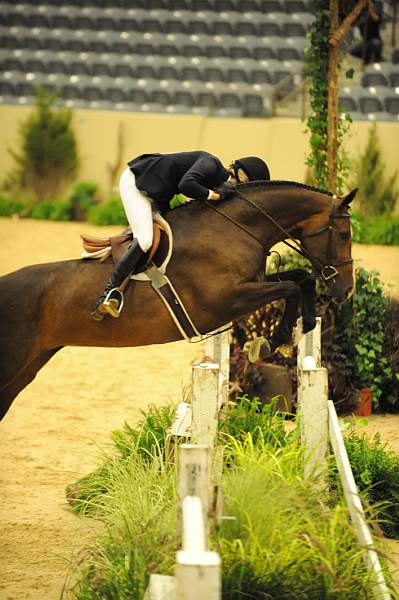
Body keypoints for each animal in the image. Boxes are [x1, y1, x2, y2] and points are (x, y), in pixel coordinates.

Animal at [0, 180, 356, 420]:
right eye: (343, 235)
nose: (347, 291)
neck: (236, 228)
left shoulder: (250, 283)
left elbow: (301, 278)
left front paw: (300, 328)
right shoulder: (226, 299)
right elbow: (292, 286)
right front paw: (276, 340)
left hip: (26, 369)